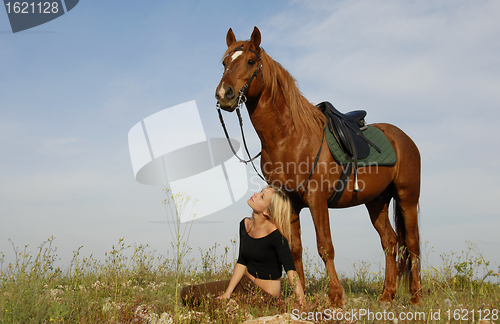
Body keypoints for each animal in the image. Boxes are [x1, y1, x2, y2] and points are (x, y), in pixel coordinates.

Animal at [215, 26, 422, 306]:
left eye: (249, 61)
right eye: (224, 62)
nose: (223, 94)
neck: (289, 137)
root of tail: (403, 138)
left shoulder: (317, 199)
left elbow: (325, 246)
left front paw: (335, 296)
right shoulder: (289, 201)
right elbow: (294, 249)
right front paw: (299, 295)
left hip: (407, 198)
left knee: (411, 243)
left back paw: (416, 297)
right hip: (376, 201)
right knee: (390, 241)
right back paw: (386, 295)